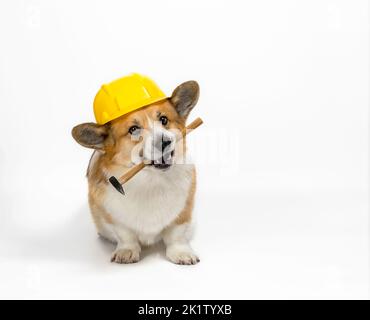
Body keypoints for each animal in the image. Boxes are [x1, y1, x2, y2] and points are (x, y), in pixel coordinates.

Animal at [72, 80, 199, 264]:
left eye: (164, 119)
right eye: (133, 129)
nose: (165, 142)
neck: (150, 180)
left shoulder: (183, 212)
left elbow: (176, 234)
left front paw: (181, 252)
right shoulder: (114, 218)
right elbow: (125, 235)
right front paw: (127, 251)